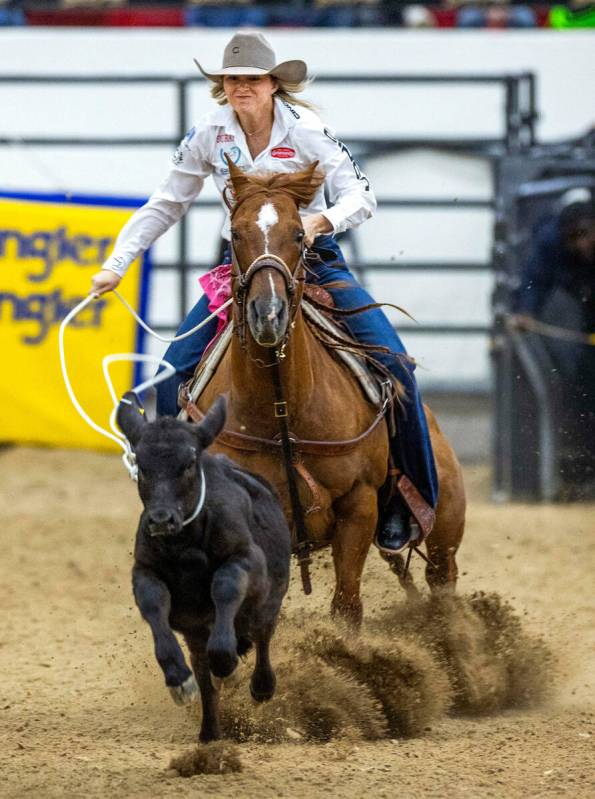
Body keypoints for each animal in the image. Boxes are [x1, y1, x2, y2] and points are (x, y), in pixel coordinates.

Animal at [117, 394, 292, 744]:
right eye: (142, 465)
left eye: (188, 464)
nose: (161, 520)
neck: (185, 547)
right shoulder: (145, 572)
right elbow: (153, 606)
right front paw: (178, 679)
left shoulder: (246, 560)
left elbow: (226, 585)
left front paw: (224, 658)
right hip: (197, 636)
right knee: (207, 679)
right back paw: (210, 731)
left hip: (269, 603)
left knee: (262, 638)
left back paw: (261, 685)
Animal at [196, 161, 466, 624]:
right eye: (235, 234)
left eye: (298, 234)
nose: (268, 314)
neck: (283, 410)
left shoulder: (359, 506)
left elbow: (347, 608)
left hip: (443, 524)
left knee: (441, 577)